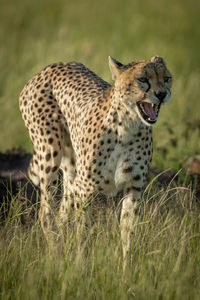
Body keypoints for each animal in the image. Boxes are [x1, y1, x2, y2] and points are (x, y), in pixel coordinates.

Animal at [19, 55, 172, 258]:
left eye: (166, 78)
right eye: (142, 79)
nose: (162, 94)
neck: (128, 126)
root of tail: (52, 66)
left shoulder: (133, 187)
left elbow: (128, 233)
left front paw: (127, 265)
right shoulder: (86, 189)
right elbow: (83, 231)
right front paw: (81, 262)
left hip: (71, 169)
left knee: (62, 211)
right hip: (50, 153)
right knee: (44, 211)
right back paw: (56, 252)